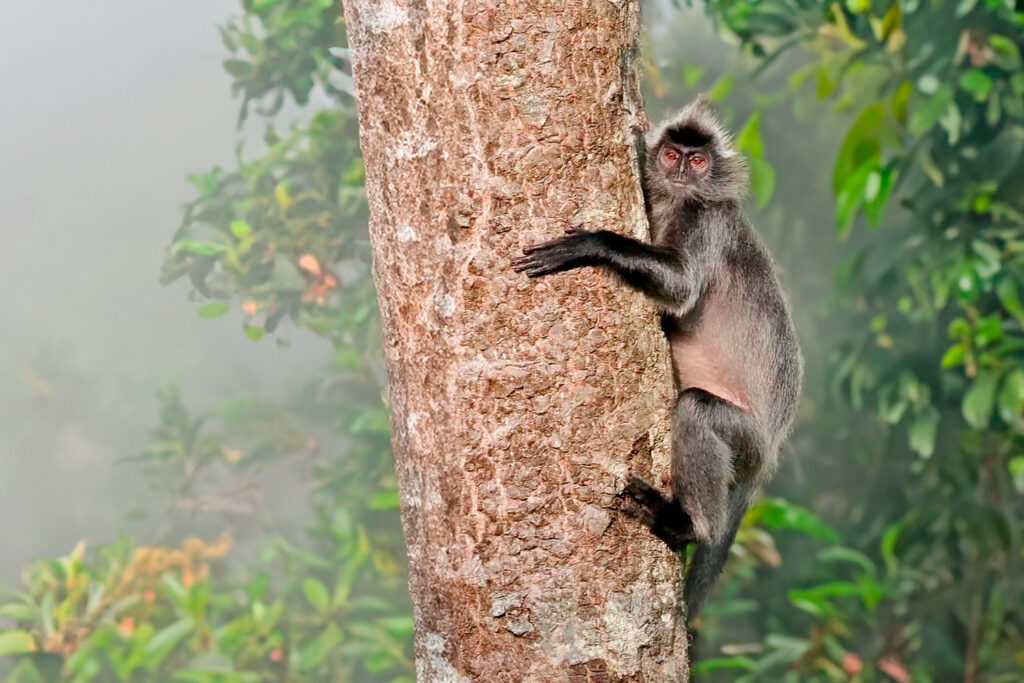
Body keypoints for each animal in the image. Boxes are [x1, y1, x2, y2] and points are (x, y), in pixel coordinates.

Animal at [509, 97, 798, 618]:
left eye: (698, 160)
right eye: (670, 155)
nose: (681, 170)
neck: (678, 200)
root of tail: (770, 452)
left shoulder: (703, 220)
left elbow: (682, 285)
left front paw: (593, 244)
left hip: (747, 439)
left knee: (697, 410)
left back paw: (687, 524)